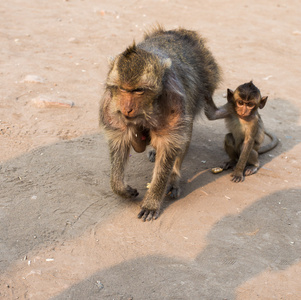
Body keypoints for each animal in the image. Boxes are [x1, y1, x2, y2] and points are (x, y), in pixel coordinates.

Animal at [99, 26, 219, 220]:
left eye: (139, 91)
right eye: (123, 89)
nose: (127, 108)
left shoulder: (173, 102)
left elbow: (168, 144)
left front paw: (152, 200)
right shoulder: (111, 105)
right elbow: (120, 140)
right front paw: (121, 188)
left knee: (183, 137)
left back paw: (174, 178)